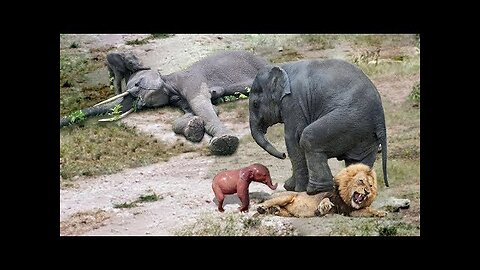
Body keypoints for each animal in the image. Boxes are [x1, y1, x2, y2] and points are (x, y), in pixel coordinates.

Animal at [59, 51, 270, 156]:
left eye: (137, 85)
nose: (138, 105)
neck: (167, 79)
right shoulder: (178, 97)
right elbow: (201, 110)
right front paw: (193, 128)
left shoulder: (191, 81)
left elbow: (203, 106)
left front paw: (225, 143)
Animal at [249, 59, 388, 195]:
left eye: (255, 104)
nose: (282, 155)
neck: (284, 66)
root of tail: (380, 119)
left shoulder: (293, 102)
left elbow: (292, 138)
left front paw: (295, 188)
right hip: (365, 134)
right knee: (357, 160)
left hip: (348, 120)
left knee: (308, 138)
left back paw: (315, 190)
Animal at [256, 163, 388, 218]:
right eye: (361, 181)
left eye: (370, 185)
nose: (367, 192)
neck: (346, 199)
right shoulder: (328, 196)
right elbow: (325, 199)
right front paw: (323, 208)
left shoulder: (349, 211)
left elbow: (368, 210)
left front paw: (381, 212)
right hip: (285, 197)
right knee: (267, 202)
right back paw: (263, 208)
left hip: (287, 211)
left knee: (280, 210)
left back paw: (275, 210)